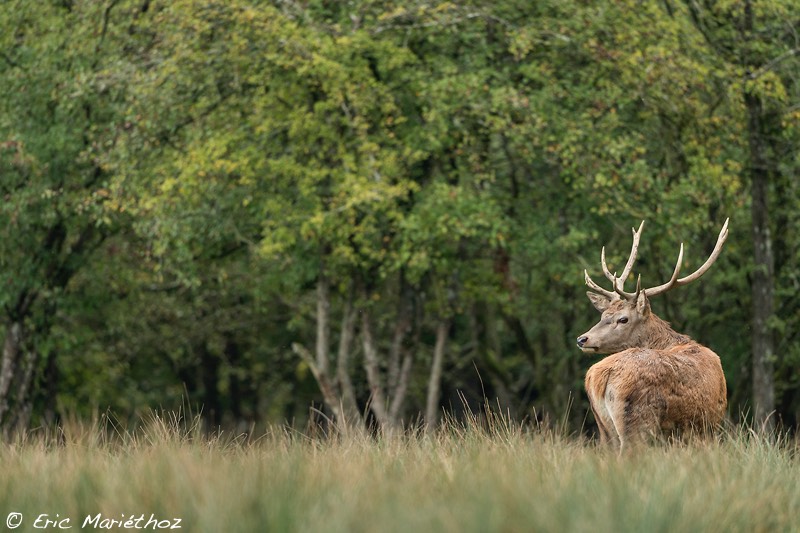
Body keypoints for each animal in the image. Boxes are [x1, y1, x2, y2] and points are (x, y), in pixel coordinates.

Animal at [576, 218, 732, 450]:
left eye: (622, 319)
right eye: (603, 314)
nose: (582, 339)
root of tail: (598, 377)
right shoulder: (708, 426)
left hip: (605, 432)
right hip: (638, 423)